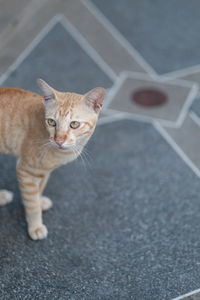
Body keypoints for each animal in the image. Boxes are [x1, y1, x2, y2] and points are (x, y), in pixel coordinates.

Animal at [0, 79, 105, 239]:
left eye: (74, 124)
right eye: (51, 122)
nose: (58, 140)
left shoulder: (44, 171)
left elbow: (39, 189)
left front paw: (39, 200)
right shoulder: (25, 170)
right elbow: (32, 203)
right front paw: (35, 226)